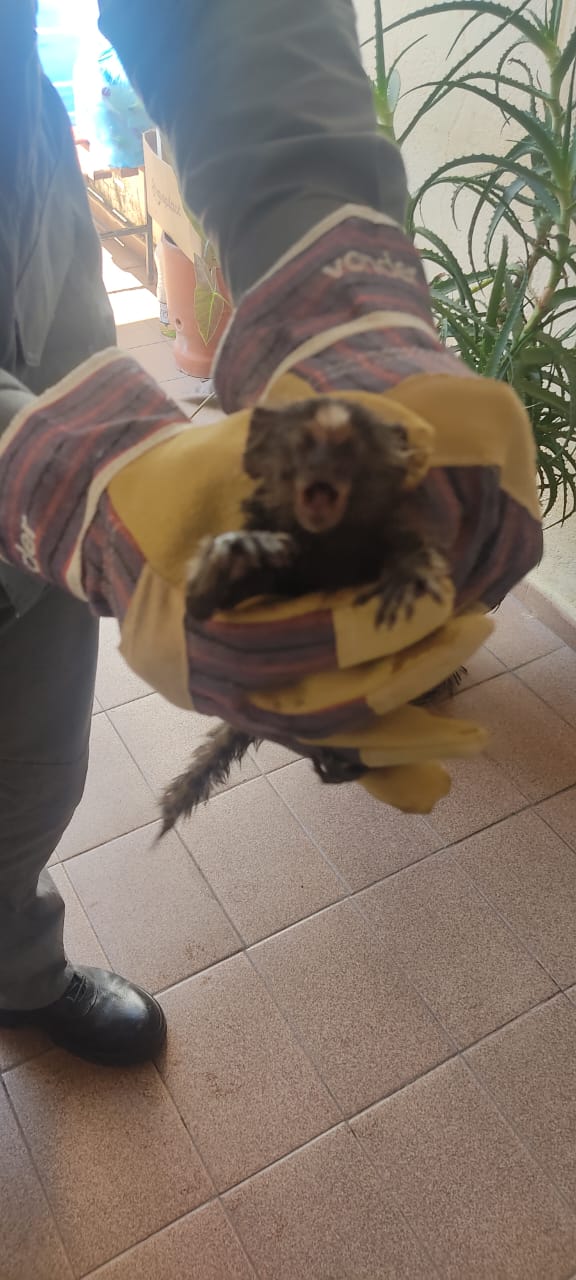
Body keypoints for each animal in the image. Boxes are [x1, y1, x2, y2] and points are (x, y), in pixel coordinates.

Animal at [159, 397, 450, 834]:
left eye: (348, 449)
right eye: (305, 444)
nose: (323, 462)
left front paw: (408, 569)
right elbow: (201, 614)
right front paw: (231, 556)